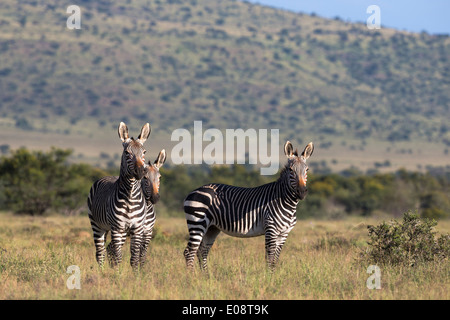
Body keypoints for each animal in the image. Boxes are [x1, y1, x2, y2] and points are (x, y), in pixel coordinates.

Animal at [87, 122, 151, 270]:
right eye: (127, 153)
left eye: (144, 152)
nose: (140, 171)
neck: (130, 196)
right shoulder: (117, 228)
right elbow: (118, 257)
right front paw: (117, 274)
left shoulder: (137, 229)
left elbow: (134, 258)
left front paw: (136, 274)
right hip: (97, 225)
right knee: (100, 252)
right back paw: (101, 272)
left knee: (106, 250)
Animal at [182, 141, 312, 272]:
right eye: (291, 170)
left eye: (307, 169)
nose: (302, 192)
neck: (286, 201)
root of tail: (194, 191)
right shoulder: (271, 229)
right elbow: (270, 258)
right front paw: (269, 277)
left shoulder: (284, 233)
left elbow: (275, 259)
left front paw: (273, 275)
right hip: (197, 222)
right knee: (189, 252)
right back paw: (192, 276)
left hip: (212, 228)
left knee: (202, 251)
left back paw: (206, 276)